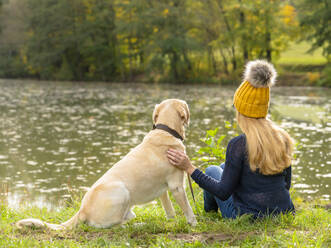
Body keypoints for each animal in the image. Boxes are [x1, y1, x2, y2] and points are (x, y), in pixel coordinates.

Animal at [16, 98, 197, 230]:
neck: (166, 130)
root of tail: (82, 211)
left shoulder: (163, 190)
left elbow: (169, 209)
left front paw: (172, 221)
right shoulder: (176, 186)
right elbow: (188, 208)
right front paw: (193, 223)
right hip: (121, 190)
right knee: (114, 225)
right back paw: (139, 225)